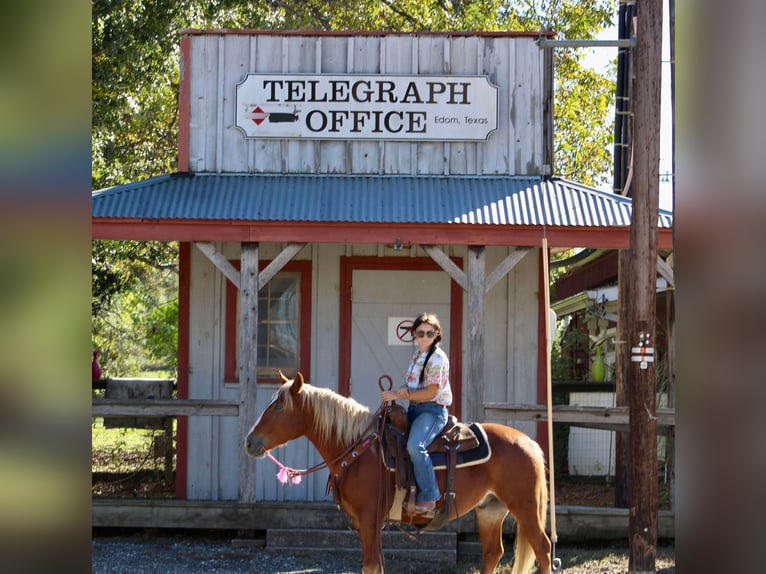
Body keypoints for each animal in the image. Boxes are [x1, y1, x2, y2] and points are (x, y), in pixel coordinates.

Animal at [246, 374, 552, 574]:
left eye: (278, 406)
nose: (249, 442)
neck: (359, 449)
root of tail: (529, 442)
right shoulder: (366, 523)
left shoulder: (370, 518)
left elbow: (371, 566)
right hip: (490, 509)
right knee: (493, 553)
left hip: (524, 507)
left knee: (543, 548)